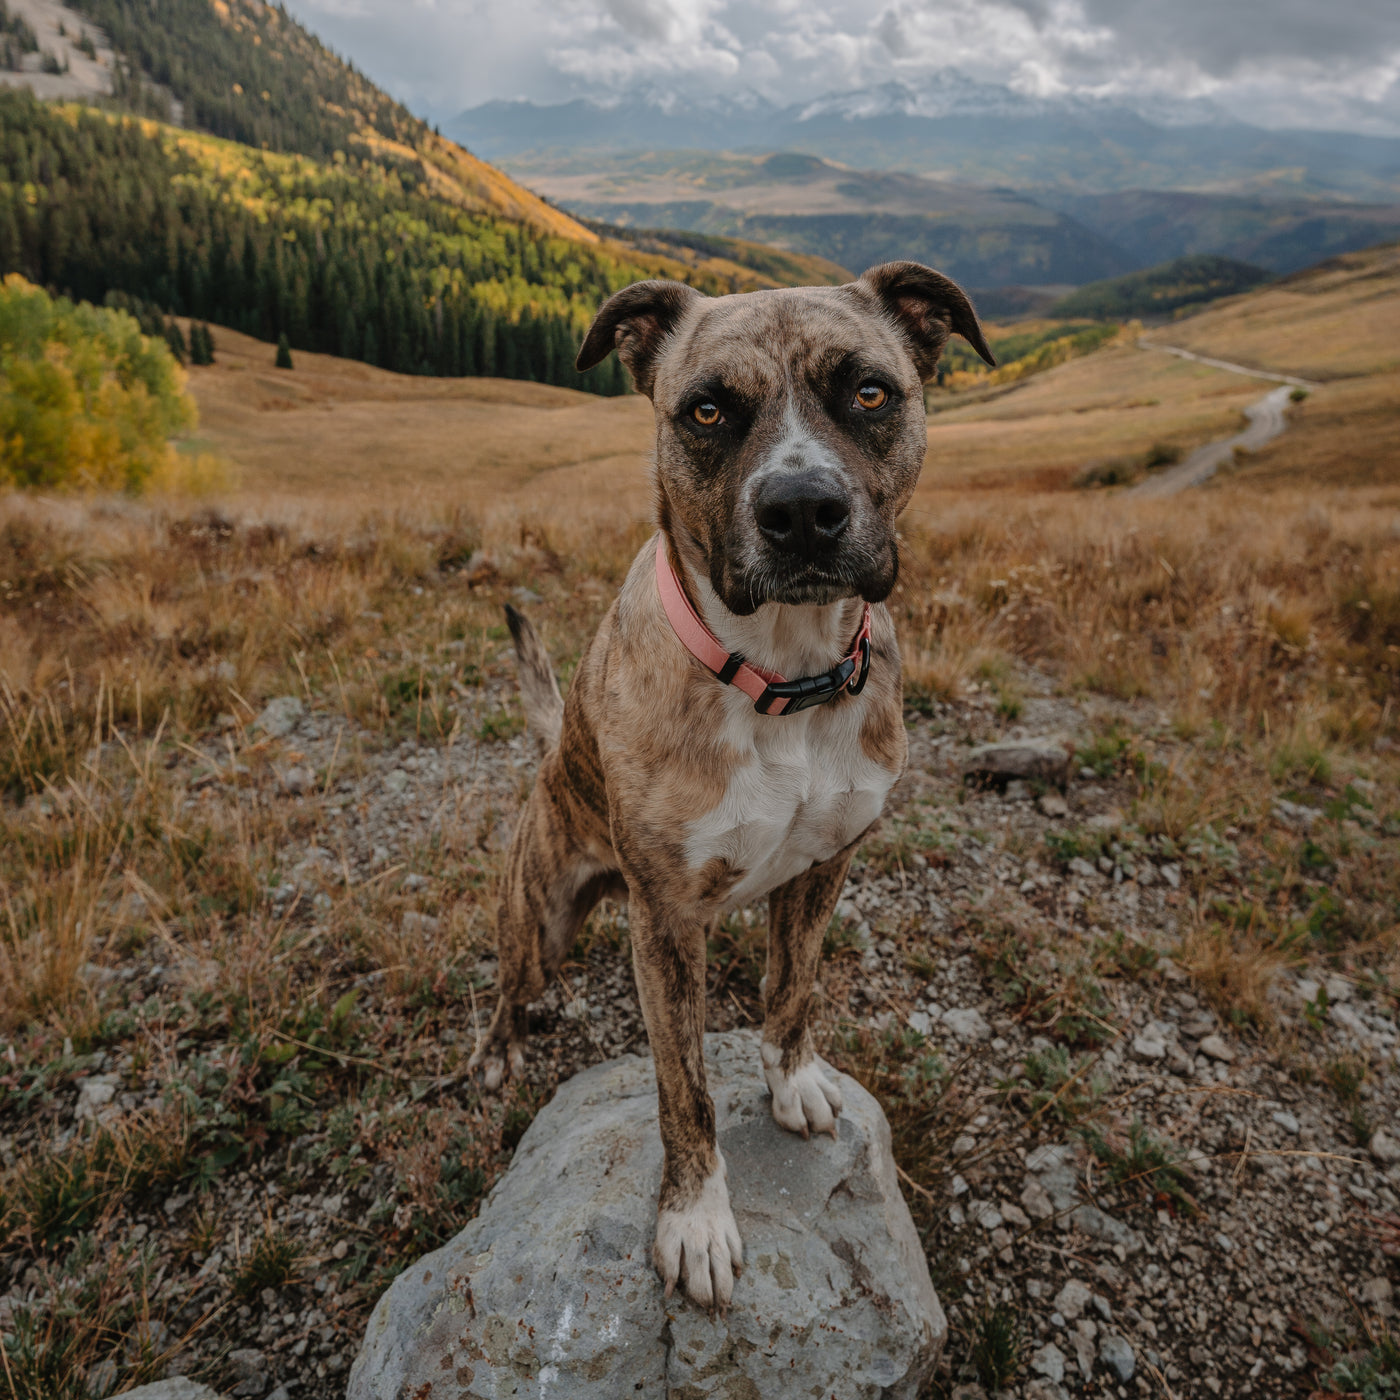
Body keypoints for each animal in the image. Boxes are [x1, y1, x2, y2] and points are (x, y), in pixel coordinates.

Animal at [470, 260, 996, 1310]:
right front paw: (696, 1220)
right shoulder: (667, 924)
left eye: (869, 392)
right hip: (542, 911)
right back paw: (504, 1048)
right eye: (707, 410)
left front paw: (792, 1082)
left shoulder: (826, 865)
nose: (802, 511)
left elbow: (792, 989)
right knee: (513, 982)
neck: (781, 674)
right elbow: (685, 1090)